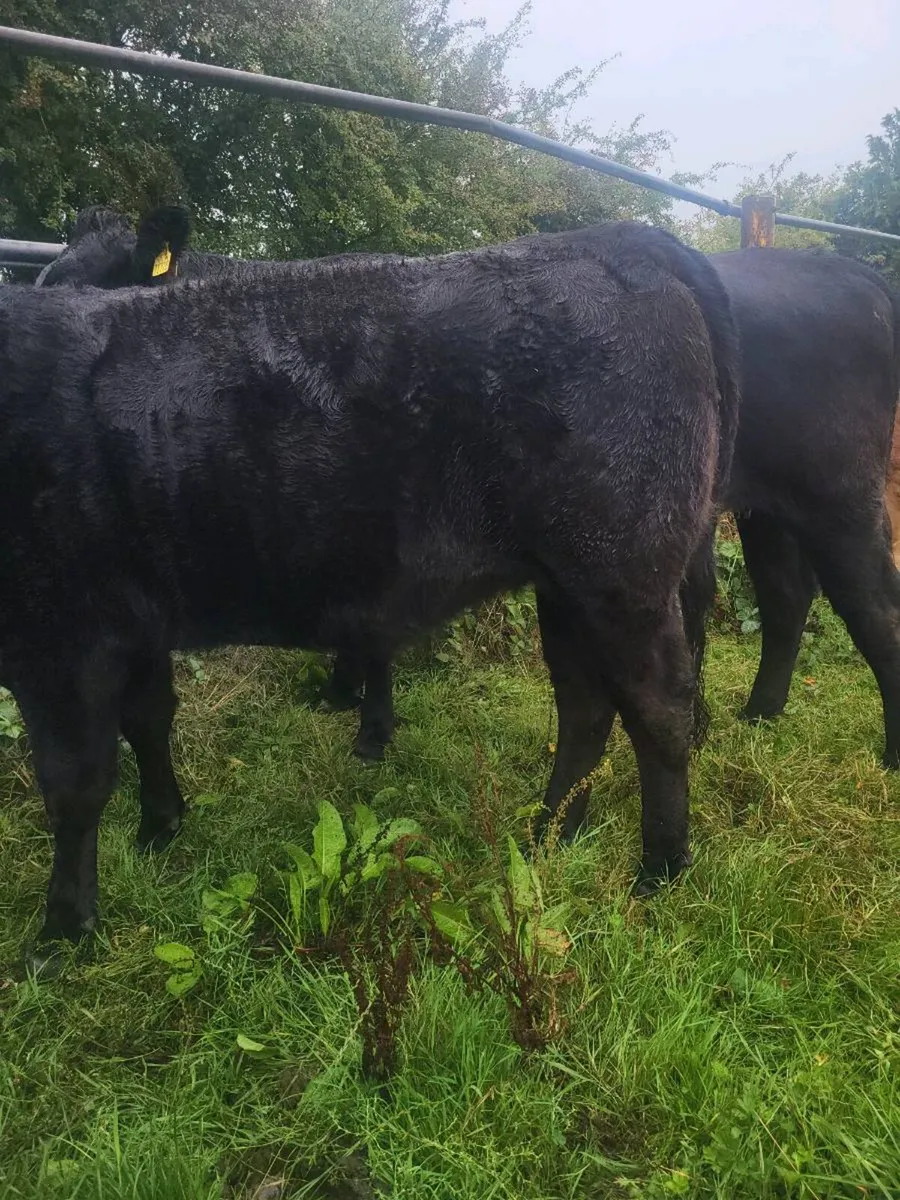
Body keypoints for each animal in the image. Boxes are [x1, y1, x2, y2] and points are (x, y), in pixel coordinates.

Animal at [3, 220, 739, 958]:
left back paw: (661, 867)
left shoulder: (58, 638)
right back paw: (550, 830)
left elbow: (75, 783)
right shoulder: (131, 621)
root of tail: (613, 237)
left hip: (624, 575)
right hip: (566, 584)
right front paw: (159, 828)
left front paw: (62, 929)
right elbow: (148, 722)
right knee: (584, 705)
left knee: (658, 707)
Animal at [37, 208, 900, 770]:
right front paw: (358, 707)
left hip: (836, 497)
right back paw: (753, 716)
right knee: (780, 599)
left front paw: (366, 726)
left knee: (871, 612)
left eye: (103, 283)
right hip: (758, 508)